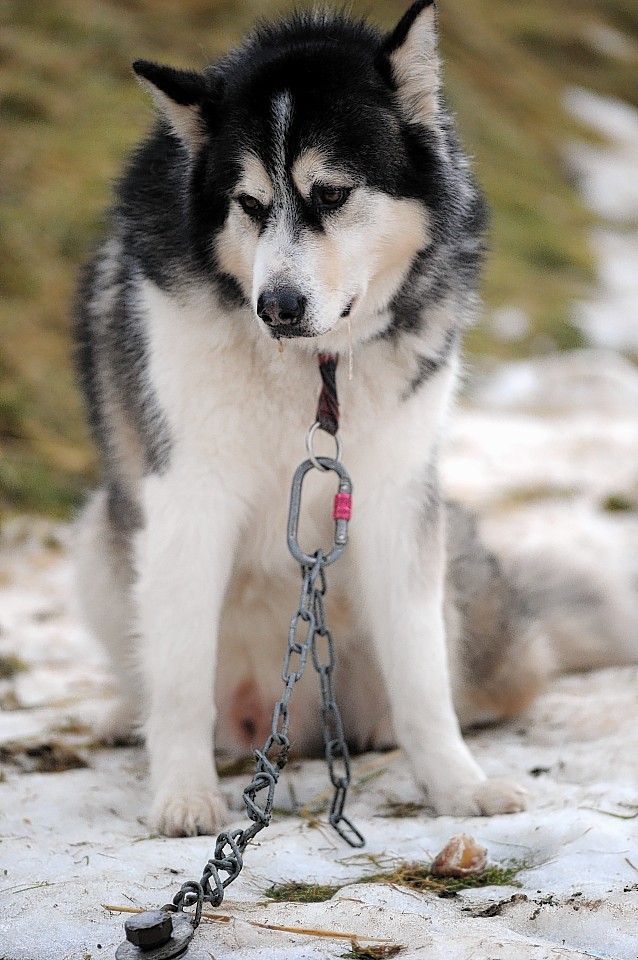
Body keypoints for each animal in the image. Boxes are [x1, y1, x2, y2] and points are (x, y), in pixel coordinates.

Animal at [74, 0, 636, 836]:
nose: (276, 306)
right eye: (249, 205)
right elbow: (177, 675)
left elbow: (423, 675)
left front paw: (456, 785)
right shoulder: (185, 496)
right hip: (101, 539)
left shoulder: (395, 495)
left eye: (331, 194)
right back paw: (127, 714)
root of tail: (288, 726)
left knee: (475, 679)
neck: (316, 372)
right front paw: (182, 793)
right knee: (153, 667)